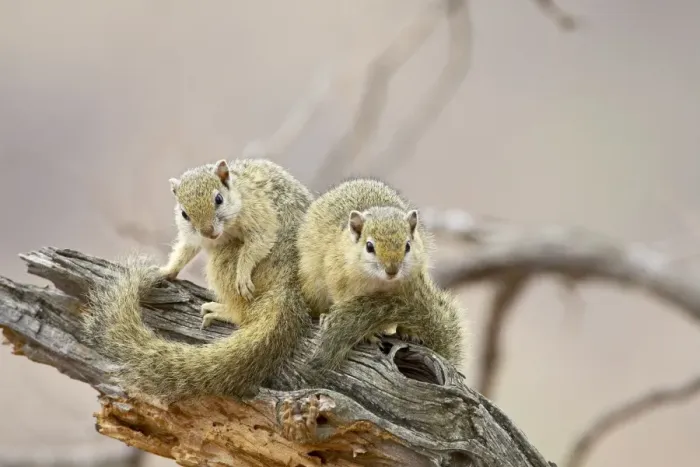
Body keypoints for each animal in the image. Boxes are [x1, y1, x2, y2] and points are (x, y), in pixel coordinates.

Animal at [83, 158, 314, 401]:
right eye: (184, 213)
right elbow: (185, 249)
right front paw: (165, 271)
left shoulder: (258, 211)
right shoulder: (191, 236)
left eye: (218, 199)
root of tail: (286, 288)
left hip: (226, 261)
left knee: (242, 312)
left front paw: (242, 273)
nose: (208, 232)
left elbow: (259, 241)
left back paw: (224, 310)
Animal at [297, 178, 465, 371]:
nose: (392, 270)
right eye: (369, 246)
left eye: (408, 245)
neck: (381, 283)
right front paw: (368, 335)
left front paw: (410, 330)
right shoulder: (339, 279)